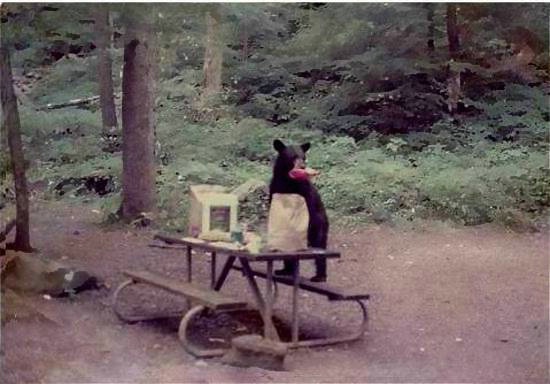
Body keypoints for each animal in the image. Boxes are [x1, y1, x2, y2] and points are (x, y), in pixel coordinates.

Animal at [270, 139, 330, 282]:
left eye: (304, 157)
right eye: (293, 157)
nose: (302, 167)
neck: (287, 181)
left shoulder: (303, 193)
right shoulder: (275, 189)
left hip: (318, 225)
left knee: (319, 245)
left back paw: (319, 276)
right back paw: (285, 270)